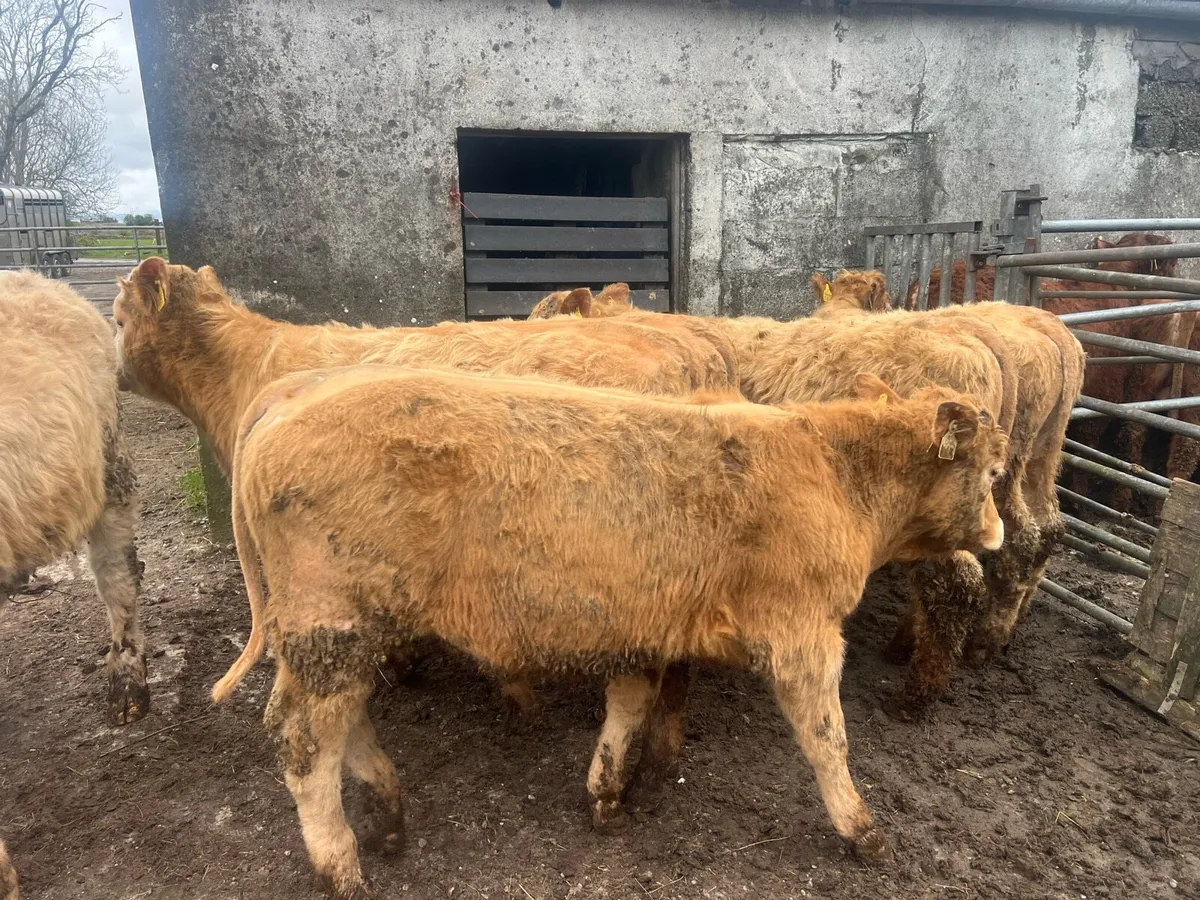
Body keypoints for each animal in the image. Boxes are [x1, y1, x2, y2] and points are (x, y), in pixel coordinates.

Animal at [212, 363, 1007, 898]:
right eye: (994, 472)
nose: (999, 531)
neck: (833, 471)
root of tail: (292, 396)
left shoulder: (655, 626)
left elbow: (637, 707)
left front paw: (618, 793)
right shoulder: (803, 636)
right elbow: (827, 739)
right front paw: (863, 831)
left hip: (341, 632)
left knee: (342, 724)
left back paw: (388, 811)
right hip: (330, 627)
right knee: (303, 741)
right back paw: (342, 866)